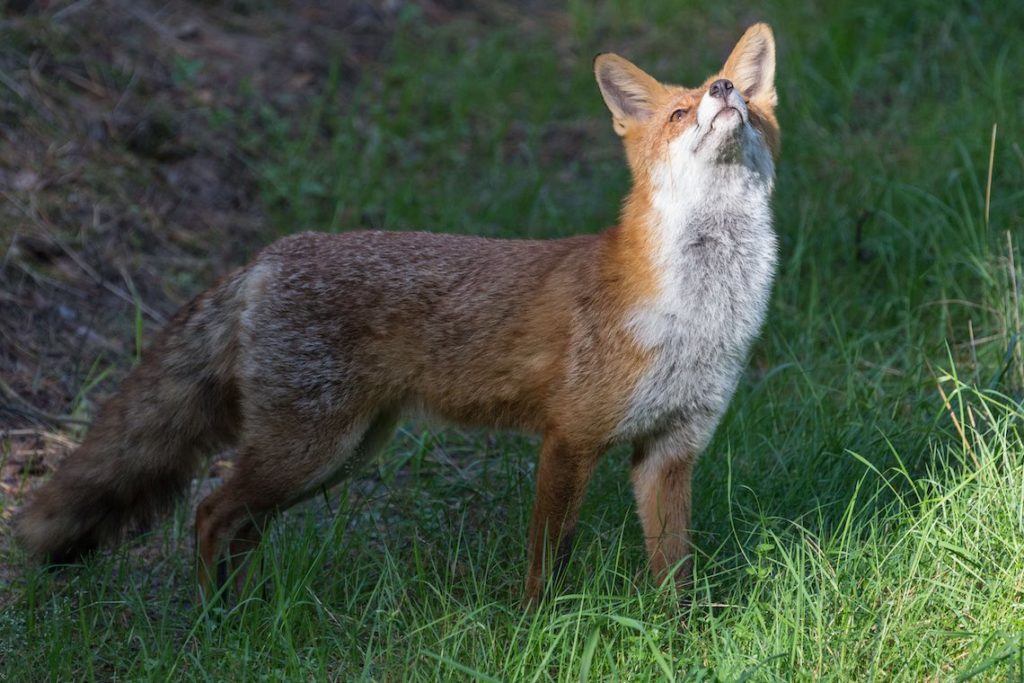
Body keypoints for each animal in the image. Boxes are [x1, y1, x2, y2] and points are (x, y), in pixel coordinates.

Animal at [16, 24, 778, 606]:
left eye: (739, 94)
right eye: (679, 113)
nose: (723, 90)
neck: (698, 308)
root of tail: (269, 256)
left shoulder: (671, 450)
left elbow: (674, 572)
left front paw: (677, 635)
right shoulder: (570, 438)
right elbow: (547, 562)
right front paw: (537, 627)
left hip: (337, 455)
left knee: (238, 524)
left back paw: (241, 610)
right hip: (308, 450)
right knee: (209, 513)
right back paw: (212, 618)